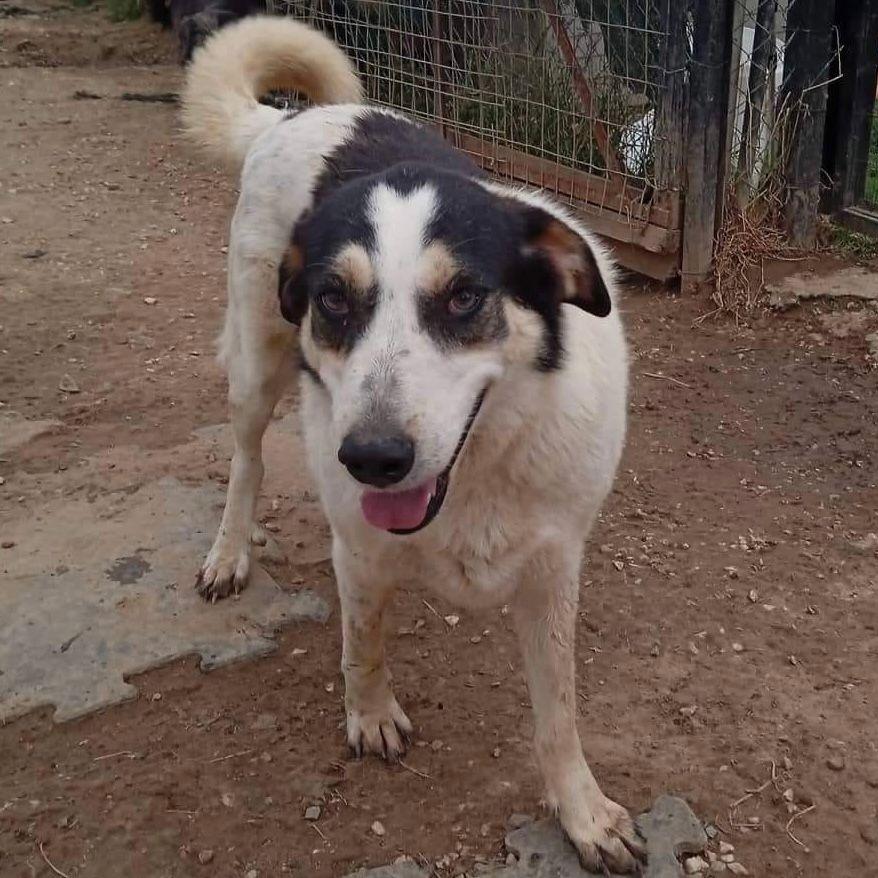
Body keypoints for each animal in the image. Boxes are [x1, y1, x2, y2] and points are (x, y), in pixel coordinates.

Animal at [182, 17, 642, 873]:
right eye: (334, 300)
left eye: (463, 298)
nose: (373, 458)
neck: (481, 466)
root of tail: (290, 119)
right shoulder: (359, 546)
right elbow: (363, 639)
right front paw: (369, 716)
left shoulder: (554, 566)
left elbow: (559, 711)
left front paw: (584, 813)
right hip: (258, 362)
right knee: (247, 458)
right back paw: (229, 552)